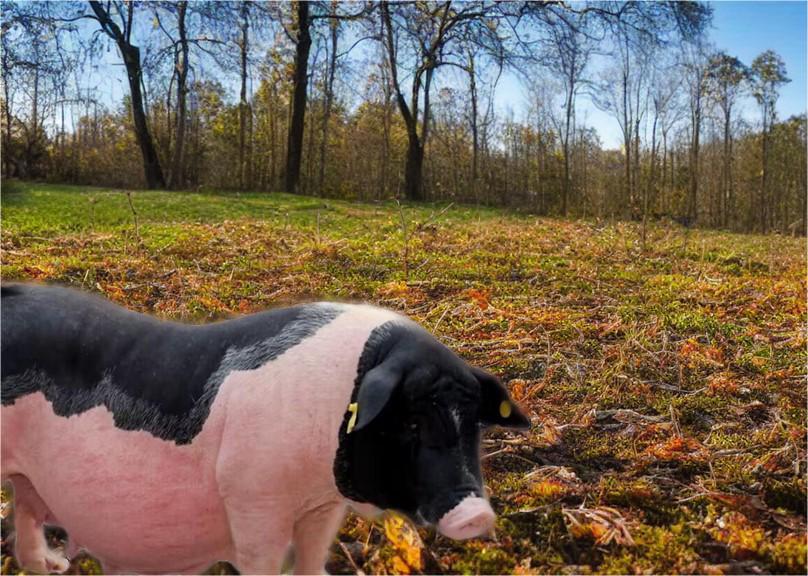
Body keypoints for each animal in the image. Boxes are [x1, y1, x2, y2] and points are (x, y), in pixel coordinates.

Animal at [1, 283, 529, 574]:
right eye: (412, 421)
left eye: (472, 426)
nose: (477, 514)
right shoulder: (253, 495)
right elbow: (263, 559)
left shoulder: (322, 505)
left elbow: (313, 555)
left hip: (28, 477)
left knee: (25, 508)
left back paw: (50, 567)